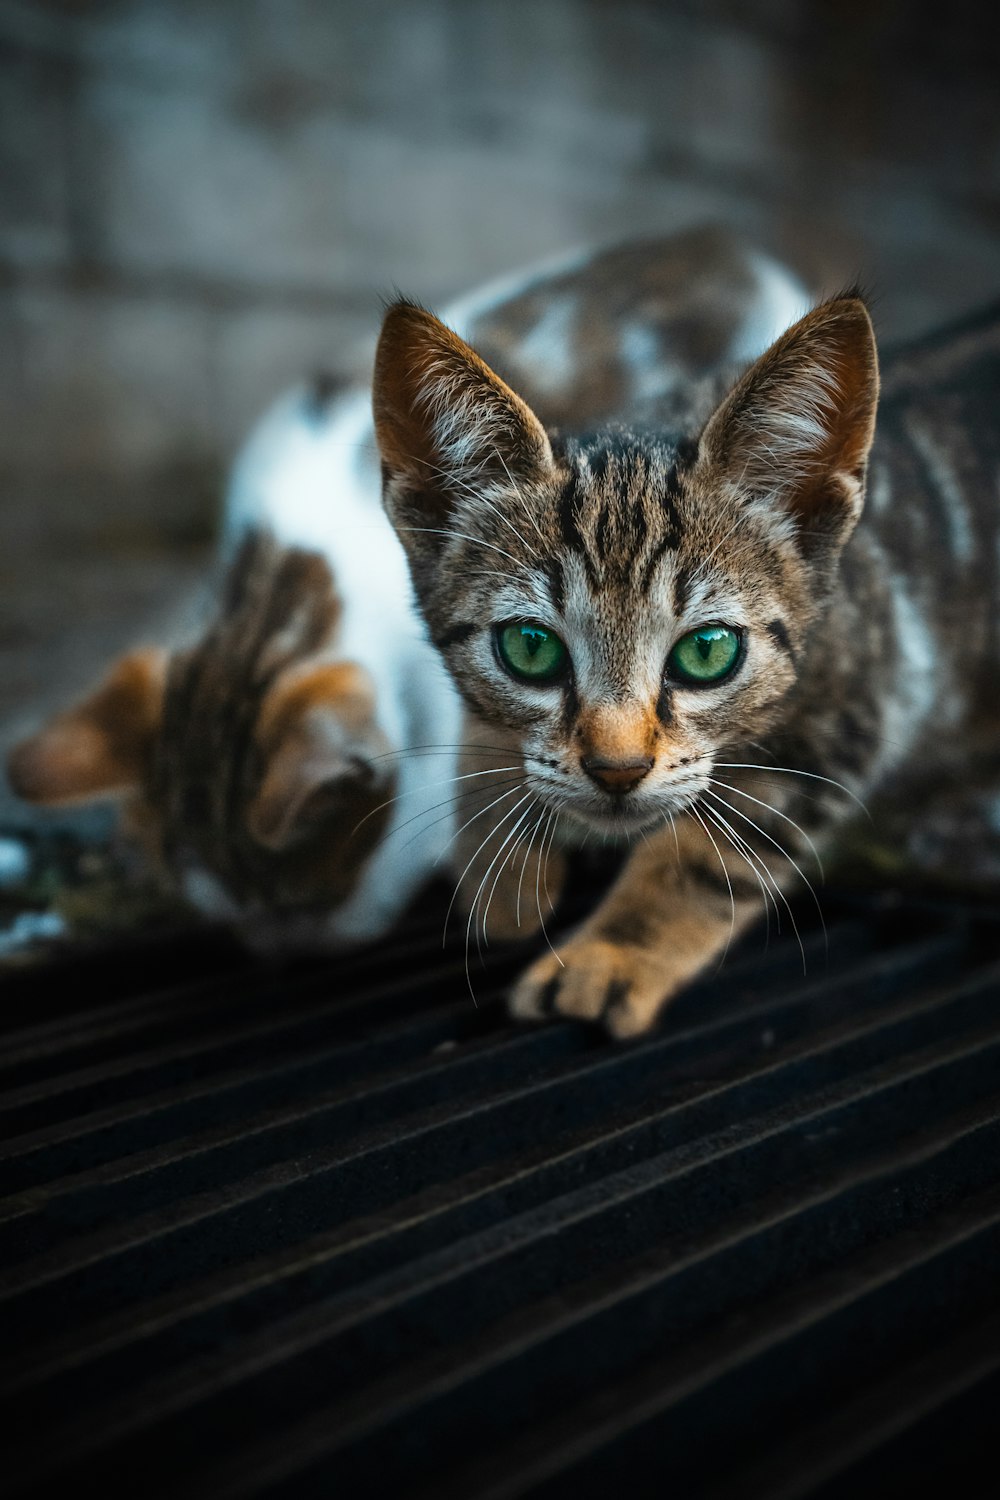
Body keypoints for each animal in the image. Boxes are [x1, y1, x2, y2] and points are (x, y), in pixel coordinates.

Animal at [373, 289, 983, 1044]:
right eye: (531, 647)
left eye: (707, 652)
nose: (617, 769)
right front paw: (499, 855)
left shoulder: (856, 697)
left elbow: (706, 853)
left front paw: (612, 954)